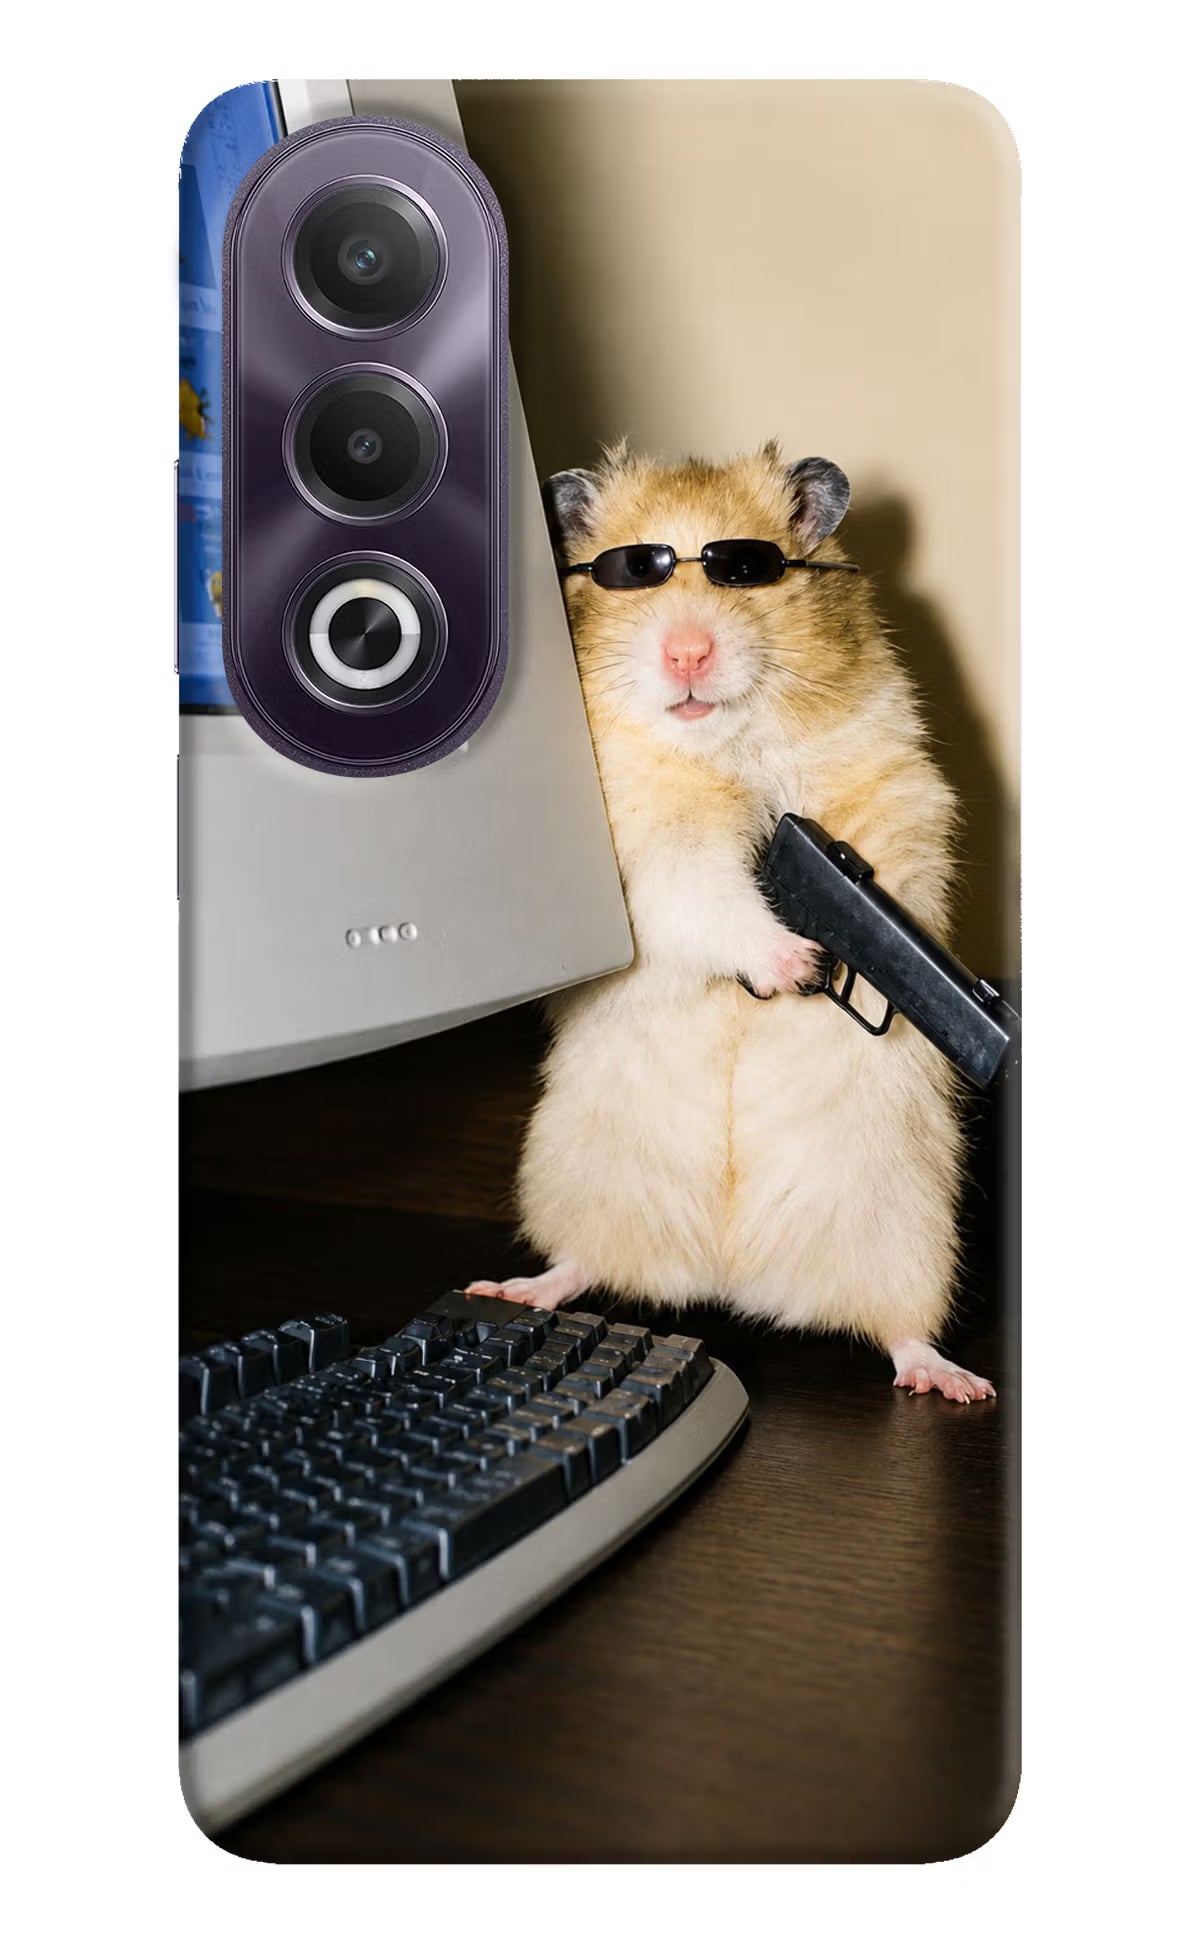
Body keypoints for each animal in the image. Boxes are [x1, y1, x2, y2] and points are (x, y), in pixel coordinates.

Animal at [469, 443, 993, 1402]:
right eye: (633, 572)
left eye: (746, 569)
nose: (686, 652)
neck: (724, 745)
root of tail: (730, 1276)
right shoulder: (648, 851)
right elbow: (707, 895)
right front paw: (796, 964)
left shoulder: (895, 788)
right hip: (580, 1176)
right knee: (582, 1263)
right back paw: (515, 1288)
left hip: (907, 1229)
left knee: (900, 1329)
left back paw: (954, 1382)